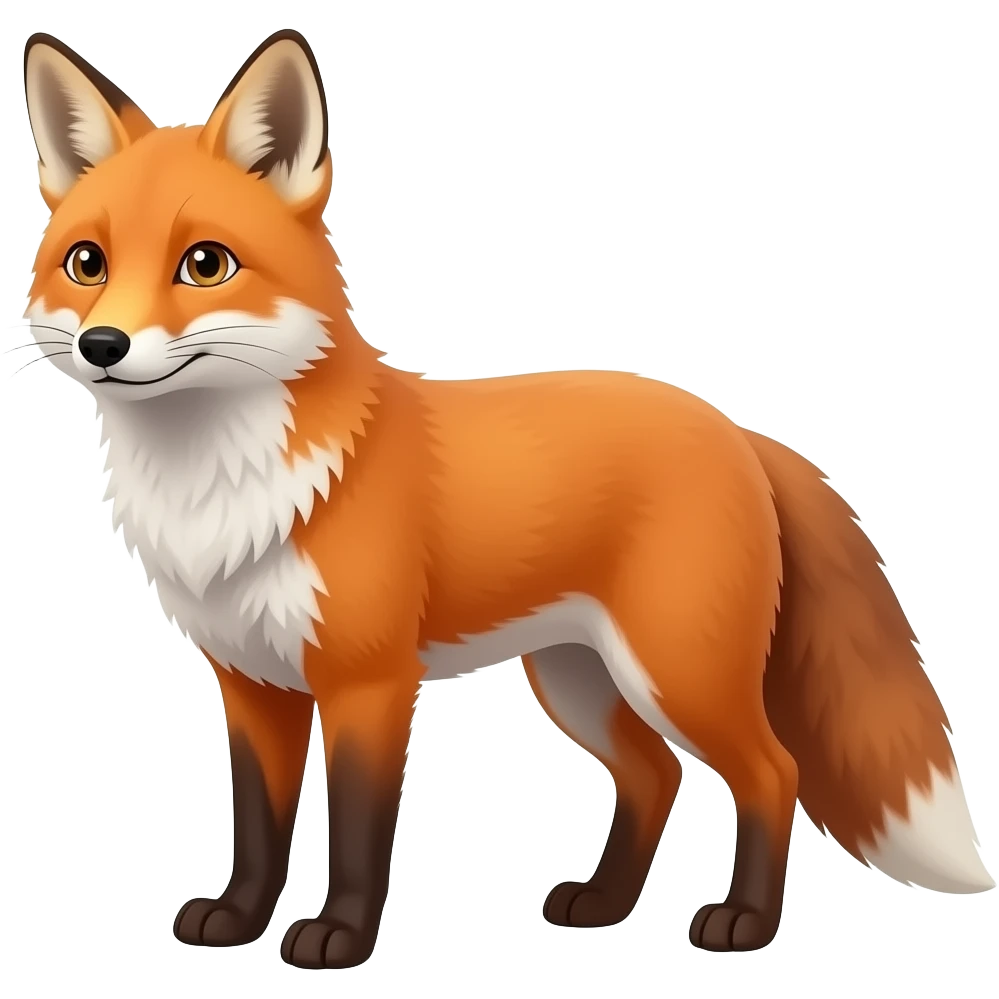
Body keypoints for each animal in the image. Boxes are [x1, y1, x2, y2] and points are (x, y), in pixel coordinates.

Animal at [17, 28, 993, 970]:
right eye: (87, 262)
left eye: (205, 263)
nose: (104, 344)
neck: (225, 485)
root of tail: (732, 426)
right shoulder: (253, 682)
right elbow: (257, 826)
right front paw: (236, 919)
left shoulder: (370, 682)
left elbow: (359, 832)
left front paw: (339, 939)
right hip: (578, 678)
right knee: (654, 776)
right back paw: (601, 905)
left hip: (677, 671)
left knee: (770, 772)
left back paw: (743, 922)